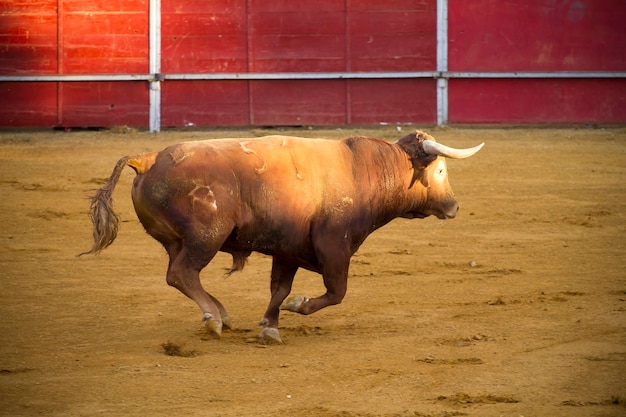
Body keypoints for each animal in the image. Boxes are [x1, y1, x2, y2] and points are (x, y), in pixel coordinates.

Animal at [80, 129, 482, 342]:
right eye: (442, 170)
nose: (454, 206)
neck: (365, 171)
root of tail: (148, 158)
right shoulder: (335, 247)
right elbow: (335, 292)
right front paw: (297, 308)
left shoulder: (287, 251)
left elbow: (279, 288)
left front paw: (270, 326)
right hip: (206, 237)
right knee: (183, 273)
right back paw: (214, 317)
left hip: (177, 241)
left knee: (178, 275)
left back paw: (222, 313)